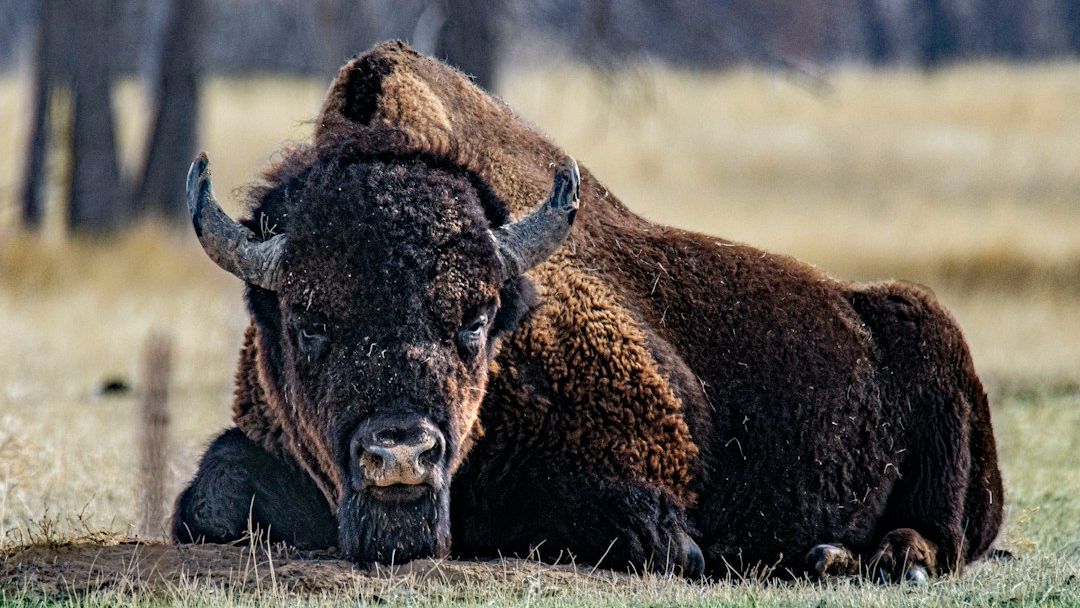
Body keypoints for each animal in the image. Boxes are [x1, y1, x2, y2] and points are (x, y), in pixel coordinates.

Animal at [172, 42, 1003, 582]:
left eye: (475, 319)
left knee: (944, 534)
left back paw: (870, 559)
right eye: (308, 322)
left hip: (946, 412)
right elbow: (205, 503)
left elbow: (635, 533)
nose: (402, 456)